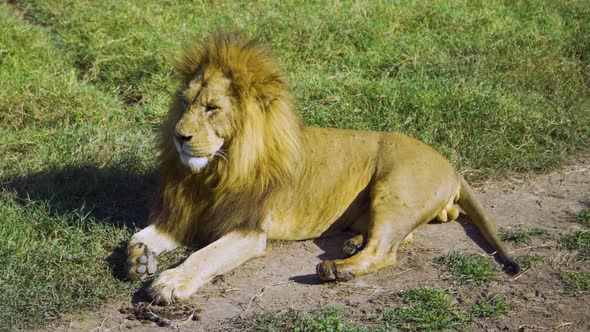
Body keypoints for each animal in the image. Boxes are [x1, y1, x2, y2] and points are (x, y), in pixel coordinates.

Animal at [127, 33, 520, 304]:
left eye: (211, 108)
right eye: (183, 103)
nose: (179, 136)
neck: (213, 172)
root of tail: (451, 165)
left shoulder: (248, 230)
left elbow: (203, 255)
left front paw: (170, 281)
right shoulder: (182, 214)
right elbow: (137, 237)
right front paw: (139, 260)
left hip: (395, 188)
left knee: (385, 250)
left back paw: (337, 268)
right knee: (397, 237)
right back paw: (351, 244)